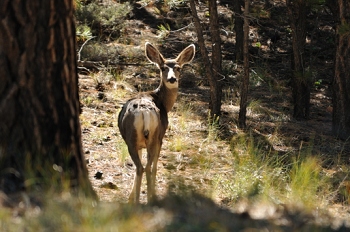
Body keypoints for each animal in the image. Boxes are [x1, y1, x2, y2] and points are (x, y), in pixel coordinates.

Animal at [118, 42, 196, 203]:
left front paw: (130, 197)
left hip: (134, 139)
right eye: (163, 68)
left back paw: (138, 200)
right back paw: (148, 198)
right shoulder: (161, 137)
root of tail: (143, 111)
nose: (172, 79)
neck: (163, 102)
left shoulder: (144, 142)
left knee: (140, 167)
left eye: (178, 68)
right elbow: (155, 166)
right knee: (147, 167)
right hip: (153, 137)